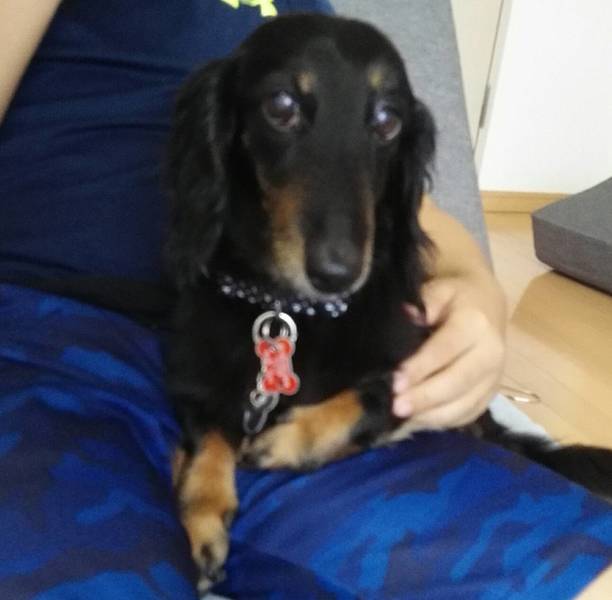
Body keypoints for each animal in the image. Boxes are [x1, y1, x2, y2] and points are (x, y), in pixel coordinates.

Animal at [164, 13, 612, 591]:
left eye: (386, 121)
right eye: (281, 106)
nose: (337, 272)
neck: (291, 309)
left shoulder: (419, 364)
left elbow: (379, 395)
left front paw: (292, 440)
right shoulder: (194, 370)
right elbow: (207, 440)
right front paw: (204, 515)